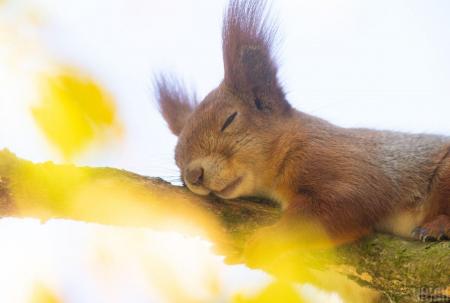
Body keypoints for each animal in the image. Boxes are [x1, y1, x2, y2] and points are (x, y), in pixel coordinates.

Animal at [154, 0, 446, 253]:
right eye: (177, 160)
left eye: (229, 120)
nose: (193, 176)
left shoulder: (341, 161)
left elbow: (336, 207)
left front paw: (270, 237)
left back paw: (438, 225)